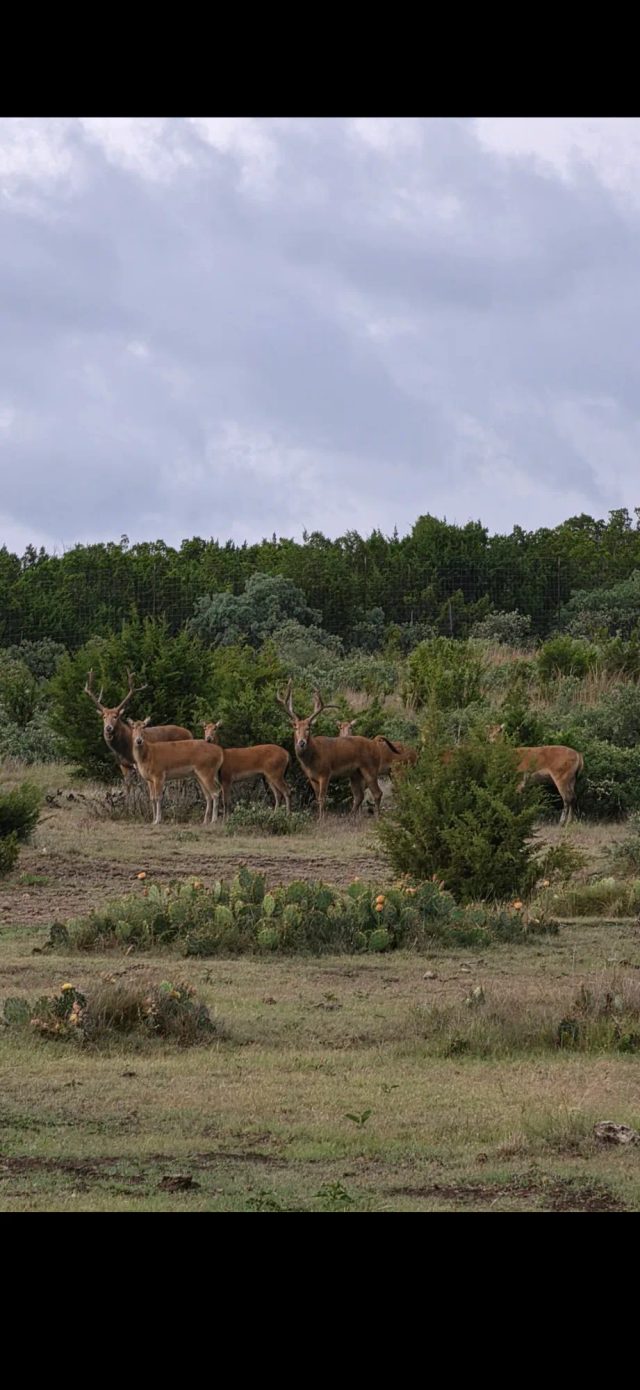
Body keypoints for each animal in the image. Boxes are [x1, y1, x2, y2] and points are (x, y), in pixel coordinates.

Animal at [276, 680, 386, 818]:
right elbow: (318, 798)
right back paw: (350, 816)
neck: (312, 759)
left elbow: (322, 798)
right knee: (359, 796)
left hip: (370, 768)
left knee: (377, 793)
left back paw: (377, 817)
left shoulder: (325, 773)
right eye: (295, 728)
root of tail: (375, 745)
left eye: (308, 728)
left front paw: (321, 819)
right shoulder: (311, 778)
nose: (301, 742)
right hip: (355, 773)